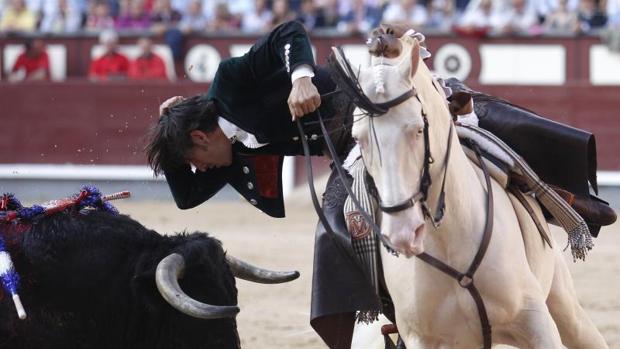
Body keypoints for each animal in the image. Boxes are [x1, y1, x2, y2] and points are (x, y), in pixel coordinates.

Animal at [346, 33, 608, 348]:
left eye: (418, 129)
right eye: (358, 139)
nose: (402, 233)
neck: (449, 241)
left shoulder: (536, 321)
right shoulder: (419, 337)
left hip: (563, 303)